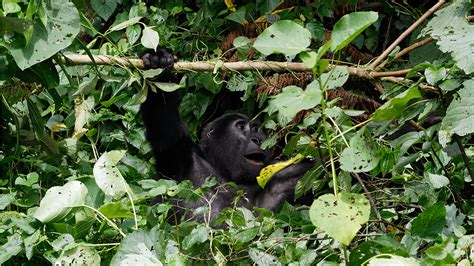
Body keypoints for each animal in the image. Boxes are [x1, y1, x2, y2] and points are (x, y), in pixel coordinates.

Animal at [141, 47, 312, 222]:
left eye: (256, 129)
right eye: (241, 127)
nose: (256, 139)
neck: (224, 173)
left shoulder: (282, 178)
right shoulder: (179, 156)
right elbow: (164, 119)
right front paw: (158, 65)